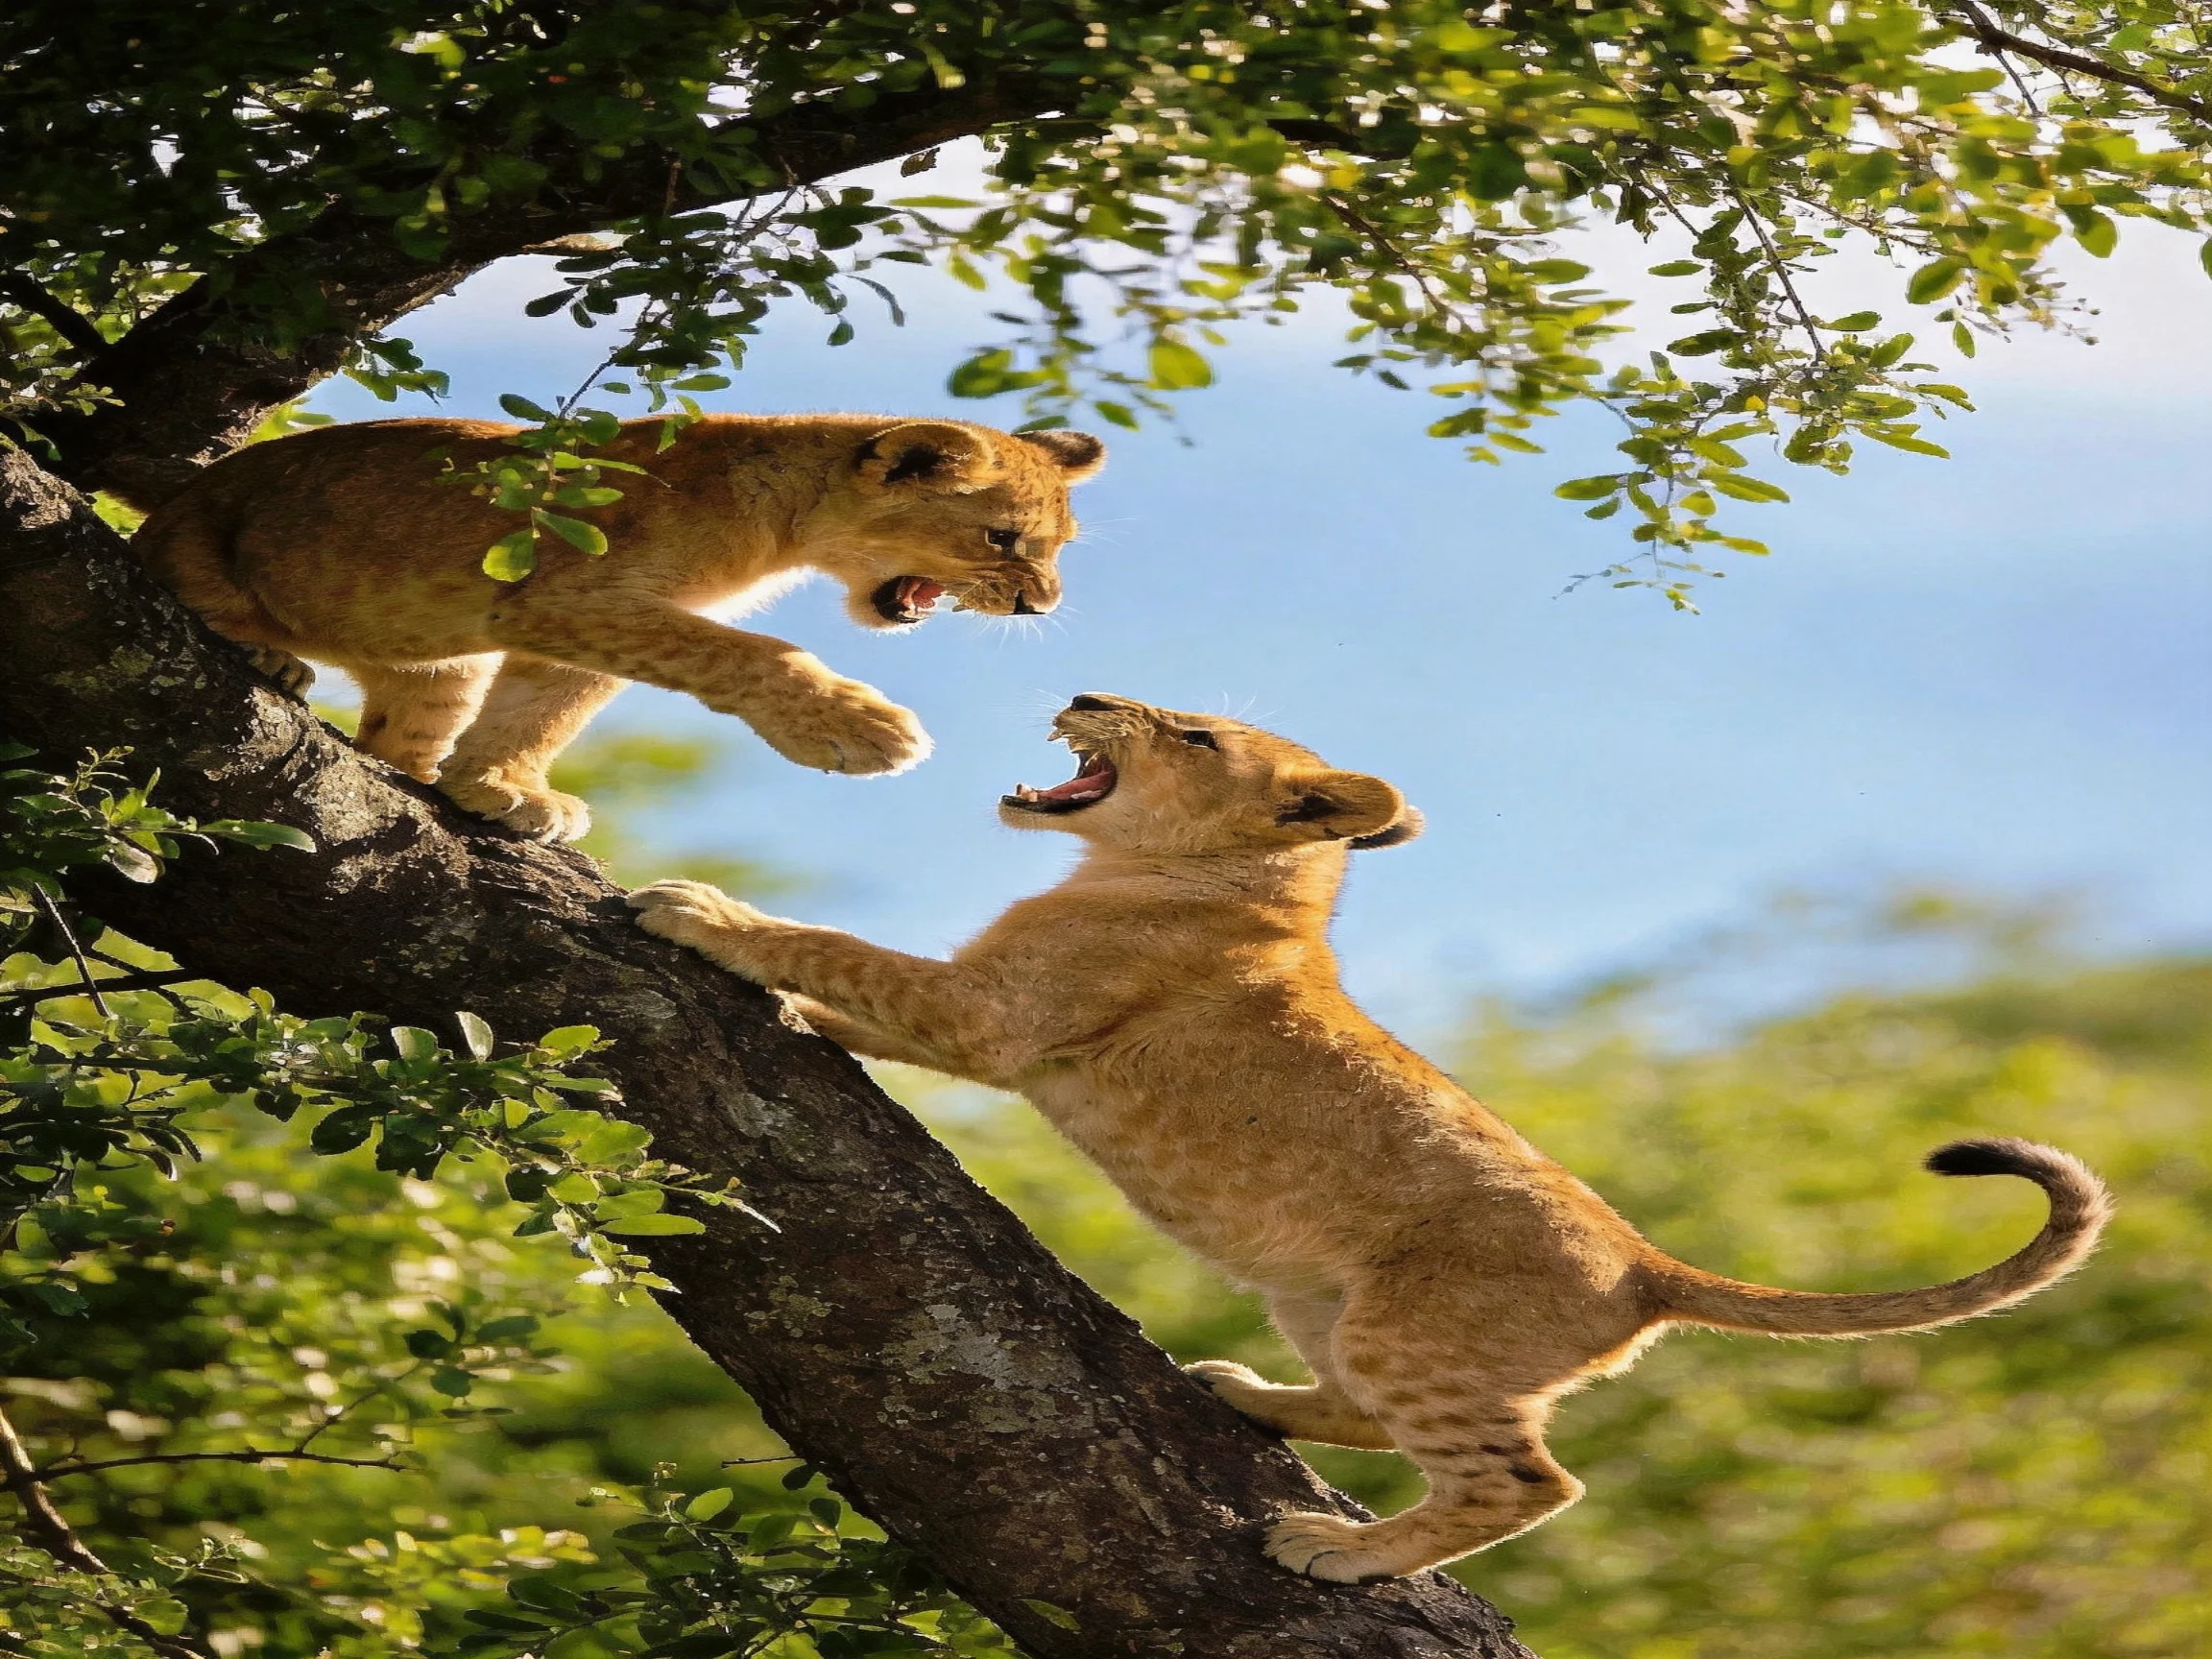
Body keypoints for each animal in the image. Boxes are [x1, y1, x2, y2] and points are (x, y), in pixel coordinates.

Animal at [130, 414, 1105, 841]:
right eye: (1002, 538)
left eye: (1060, 547)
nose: (1041, 606)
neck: (785, 525)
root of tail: (186, 490)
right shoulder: (572, 595)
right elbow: (753, 652)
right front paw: (861, 730)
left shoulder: (575, 627)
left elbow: (545, 709)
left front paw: (502, 786)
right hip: (196, 544)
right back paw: (270, 658)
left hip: (434, 664)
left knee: (408, 718)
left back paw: (411, 768)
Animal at [626, 692, 2110, 1583]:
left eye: (1193, 735)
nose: (1088, 691)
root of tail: (1644, 1263)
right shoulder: (990, 1019)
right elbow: (862, 997)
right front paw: (784, 996)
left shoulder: (996, 1017)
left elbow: (848, 952)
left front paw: (698, 912)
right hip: (1317, 1295)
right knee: (1363, 1407)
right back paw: (1244, 1391)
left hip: (1418, 1331)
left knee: (1529, 1479)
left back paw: (1343, 1553)